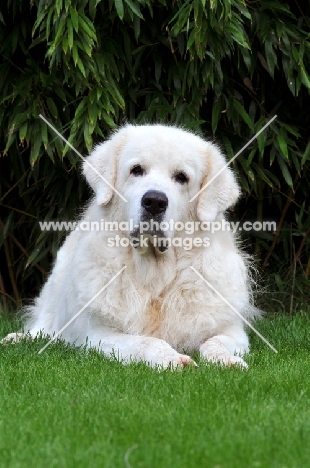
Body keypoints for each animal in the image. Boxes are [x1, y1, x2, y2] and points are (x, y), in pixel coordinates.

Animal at [2, 124, 256, 370]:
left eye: (181, 177)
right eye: (137, 170)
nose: (154, 202)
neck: (156, 277)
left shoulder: (233, 332)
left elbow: (214, 343)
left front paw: (227, 361)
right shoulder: (99, 335)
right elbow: (146, 342)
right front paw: (172, 359)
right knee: (44, 327)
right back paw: (17, 339)